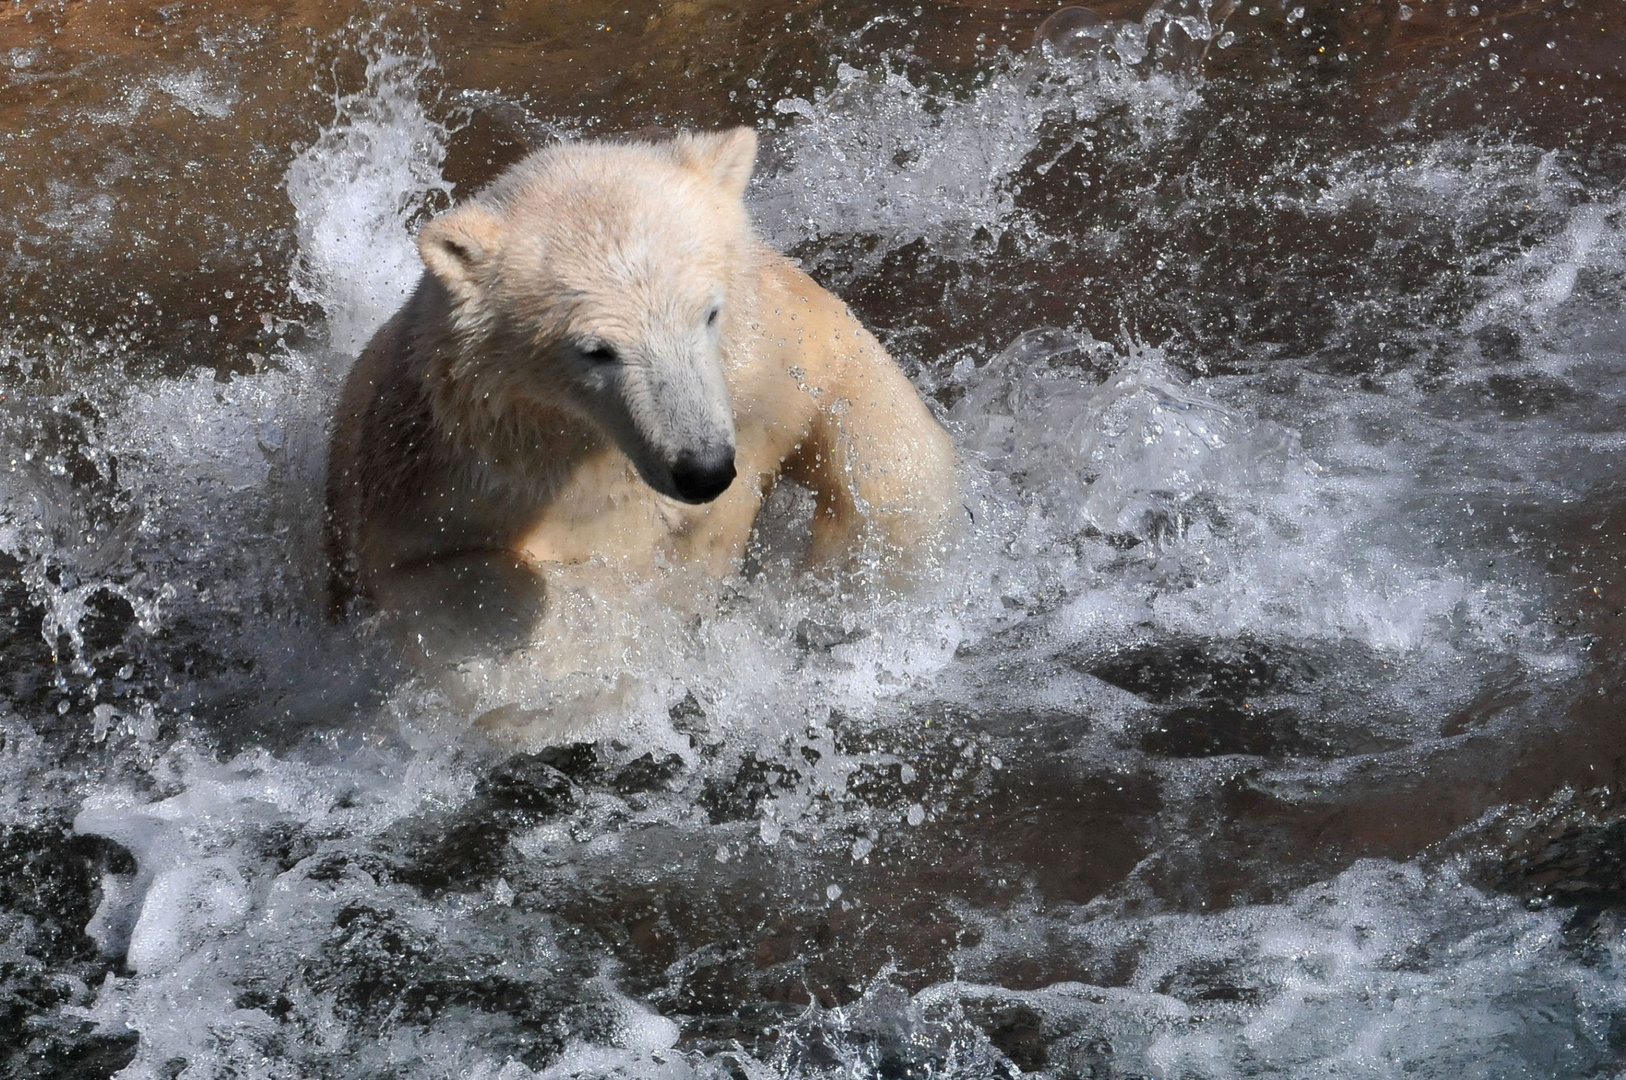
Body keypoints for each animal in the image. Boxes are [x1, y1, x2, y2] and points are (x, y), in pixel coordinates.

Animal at [325, 126, 956, 650]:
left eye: (709, 313)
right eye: (595, 350)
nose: (704, 470)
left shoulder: (769, 354)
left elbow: (867, 414)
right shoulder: (444, 482)